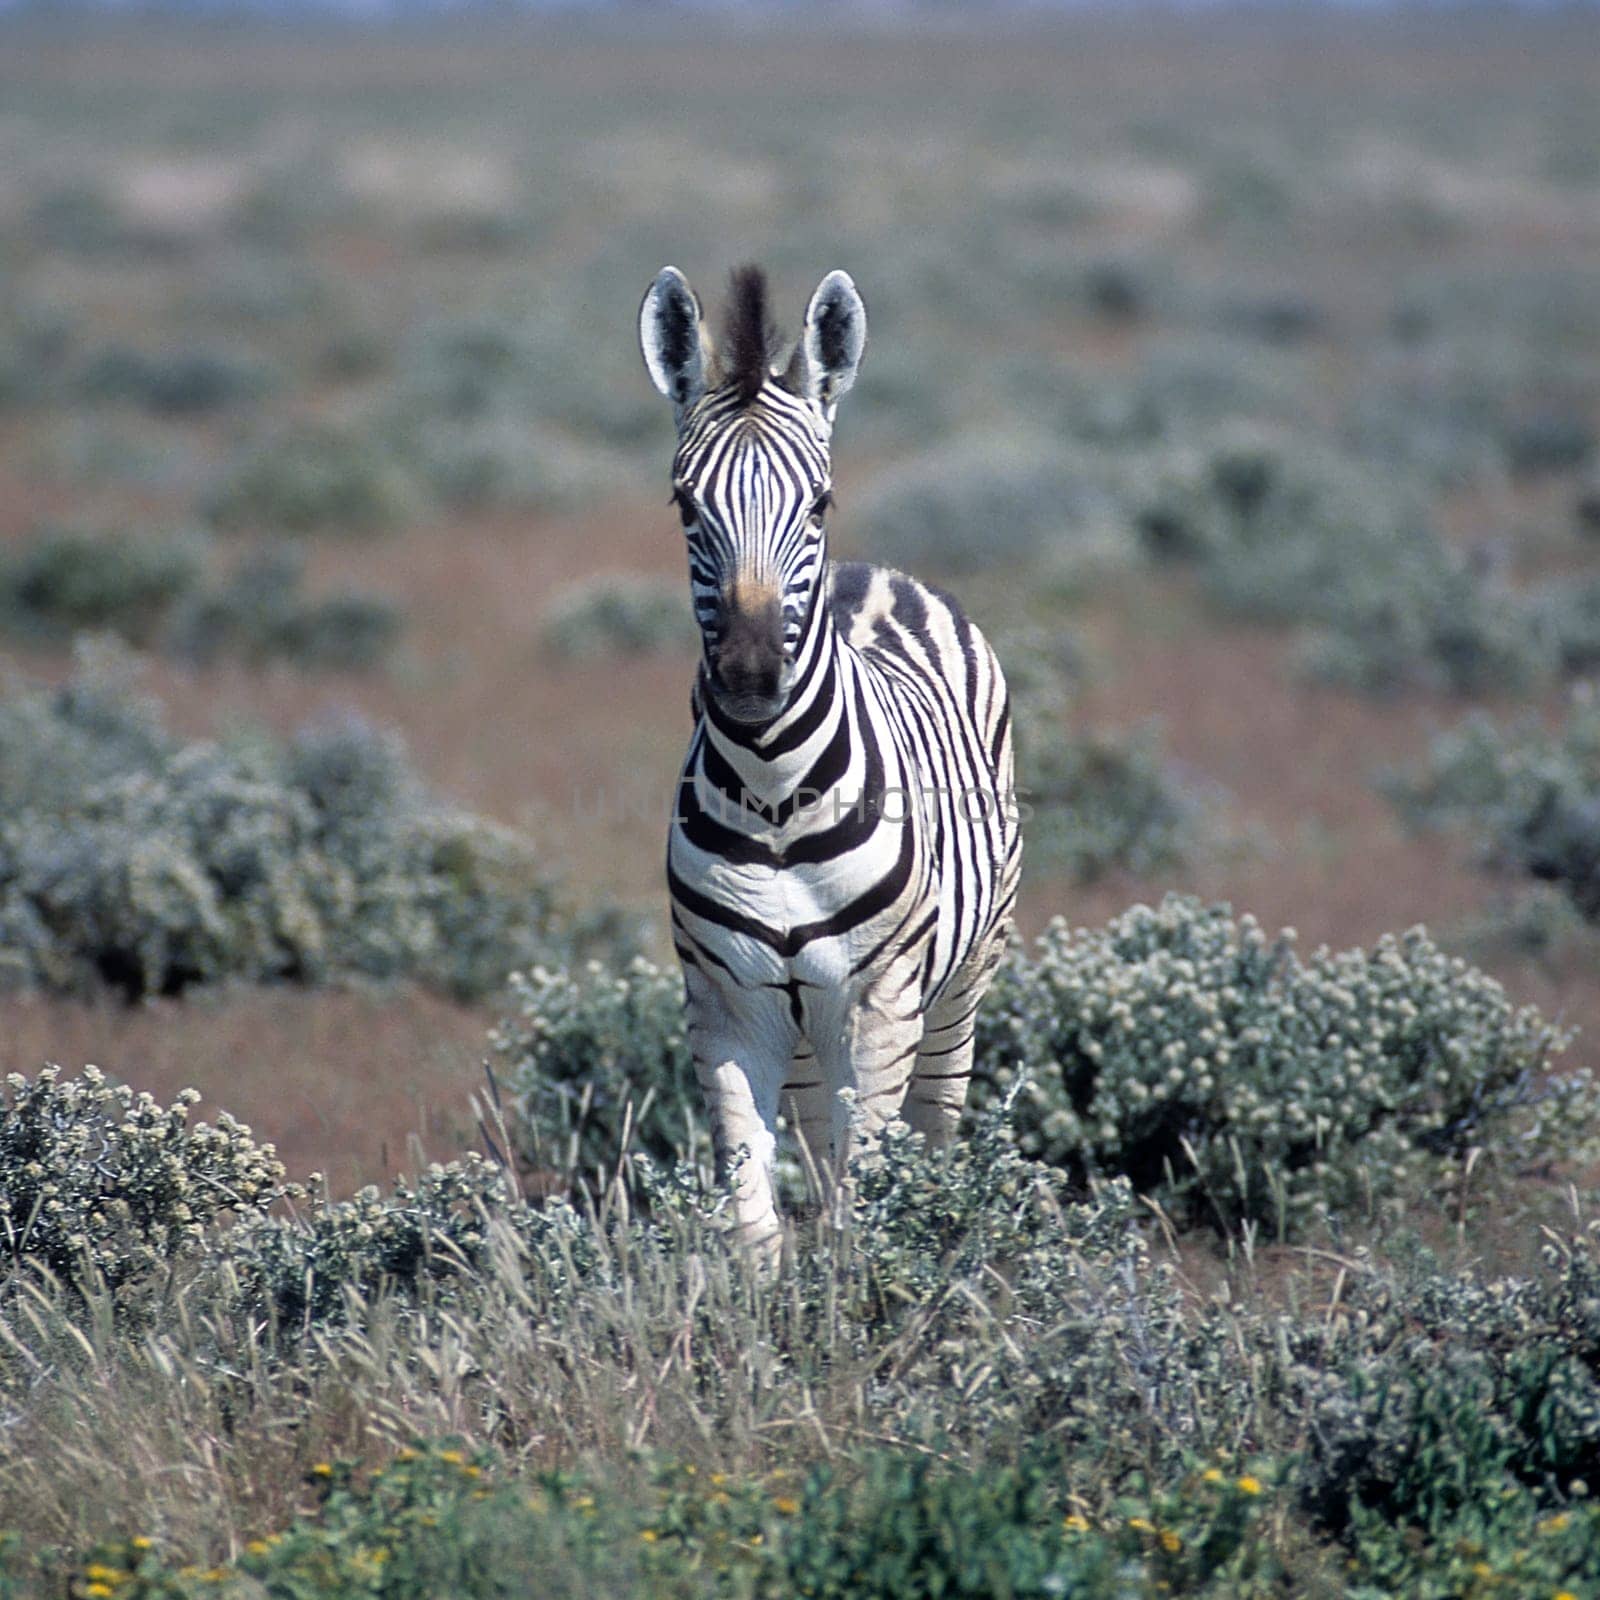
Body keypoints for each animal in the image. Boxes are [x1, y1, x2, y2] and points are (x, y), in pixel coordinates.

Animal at [640, 262, 1024, 1254]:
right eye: (685, 505)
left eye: (817, 501)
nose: (748, 676)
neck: (775, 789)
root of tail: (877, 574)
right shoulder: (729, 1009)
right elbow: (756, 1214)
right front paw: (778, 1293)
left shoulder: (881, 1005)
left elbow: (866, 1193)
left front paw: (868, 1287)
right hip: (806, 1024)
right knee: (819, 1140)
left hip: (961, 981)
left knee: (934, 1119)